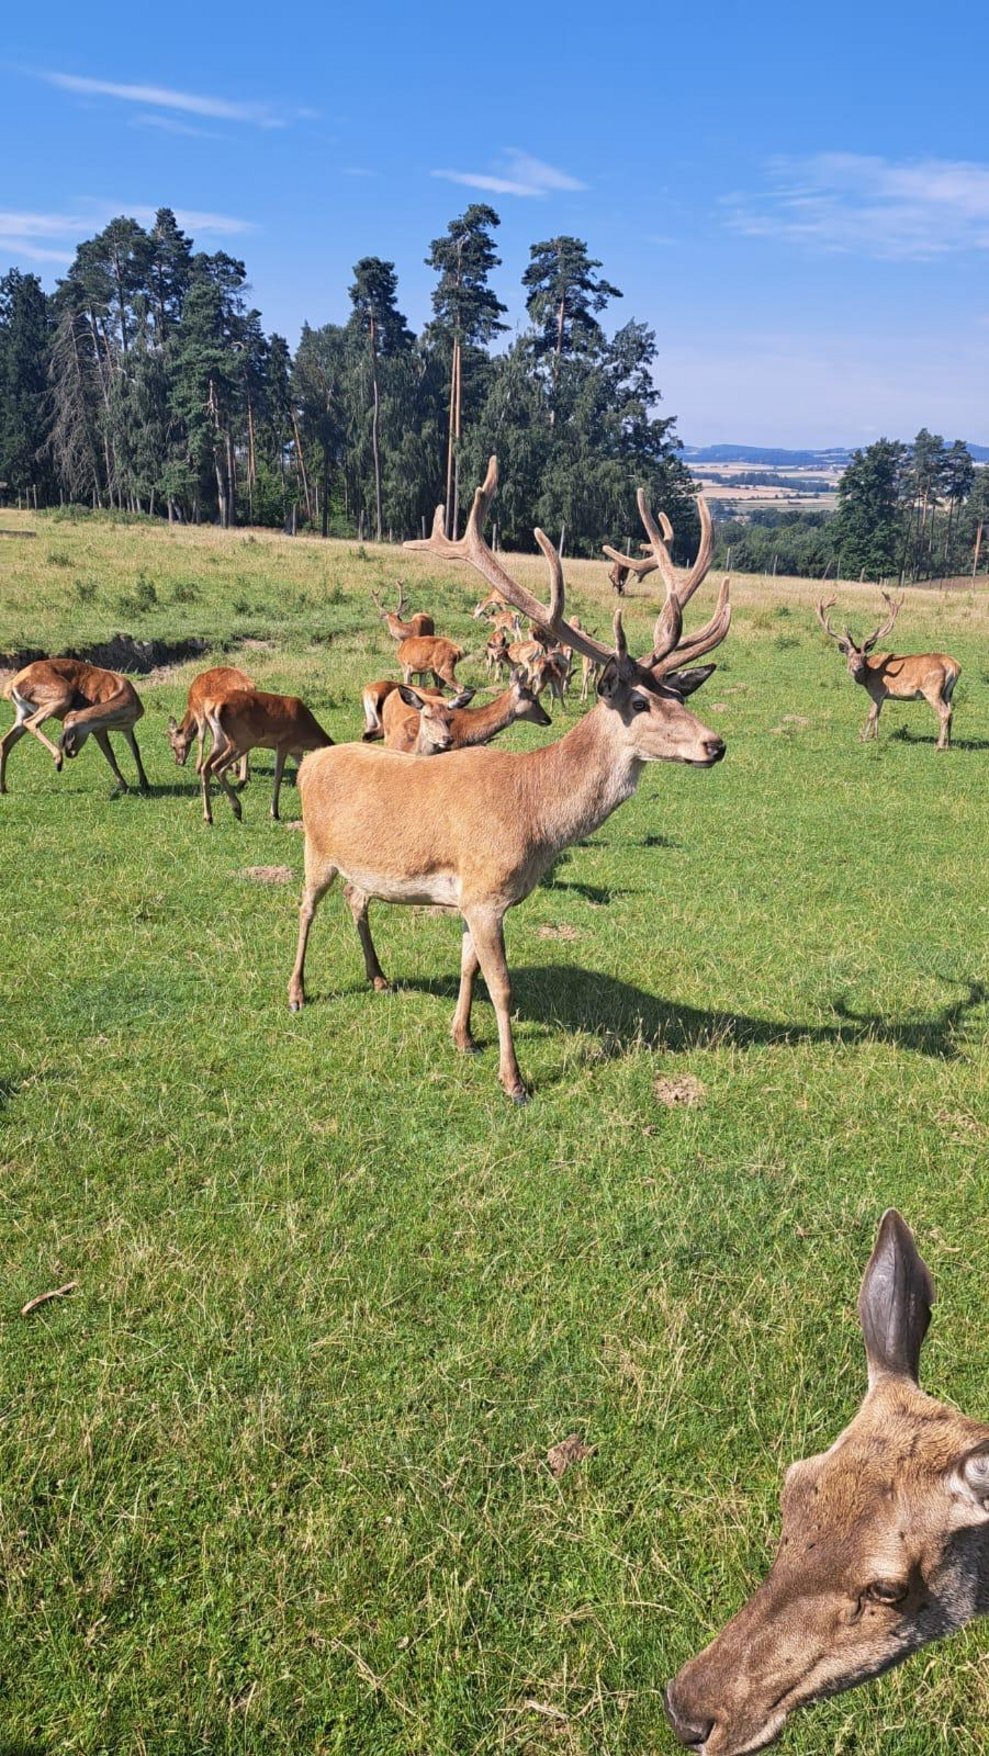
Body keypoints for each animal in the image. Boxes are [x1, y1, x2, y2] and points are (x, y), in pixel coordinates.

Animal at [0, 657, 148, 794]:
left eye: (72, 732)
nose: (70, 752)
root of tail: (13, 683)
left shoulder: (127, 727)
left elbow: (135, 751)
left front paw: (144, 783)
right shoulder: (99, 729)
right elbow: (110, 756)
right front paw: (125, 786)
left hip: (23, 712)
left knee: (6, 741)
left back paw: (4, 788)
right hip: (62, 694)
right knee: (31, 723)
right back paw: (58, 760)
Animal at [199, 688, 333, 825]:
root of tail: (214, 705)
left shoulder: (296, 752)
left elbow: (301, 776)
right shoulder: (283, 745)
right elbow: (278, 777)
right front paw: (274, 813)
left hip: (219, 741)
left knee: (205, 768)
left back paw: (208, 817)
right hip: (242, 741)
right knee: (217, 767)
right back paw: (237, 810)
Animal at [287, 456, 728, 1102]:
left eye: (679, 694)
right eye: (641, 700)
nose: (714, 744)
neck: (533, 819)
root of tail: (311, 762)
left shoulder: (475, 897)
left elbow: (468, 966)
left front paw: (461, 1037)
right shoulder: (486, 892)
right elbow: (503, 985)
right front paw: (513, 1079)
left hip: (358, 866)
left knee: (355, 898)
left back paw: (379, 977)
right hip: (316, 848)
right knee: (305, 907)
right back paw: (296, 992)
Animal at [816, 593, 961, 750]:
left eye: (864, 656)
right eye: (849, 655)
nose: (858, 668)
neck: (868, 676)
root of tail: (954, 666)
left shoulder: (877, 691)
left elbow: (871, 714)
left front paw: (862, 737)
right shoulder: (882, 696)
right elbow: (878, 713)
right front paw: (875, 736)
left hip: (932, 690)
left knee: (944, 713)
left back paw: (938, 746)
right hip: (948, 692)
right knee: (951, 713)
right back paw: (948, 744)